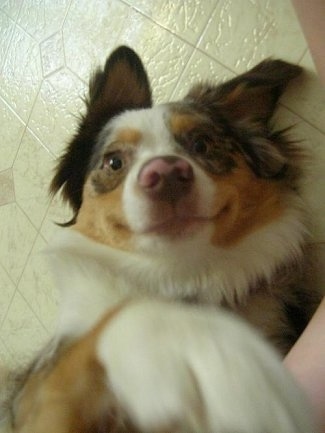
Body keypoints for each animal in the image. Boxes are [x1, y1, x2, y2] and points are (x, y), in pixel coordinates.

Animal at [3, 45, 322, 430]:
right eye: (114, 162)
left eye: (202, 144)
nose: (166, 175)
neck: (178, 274)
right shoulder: (34, 398)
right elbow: (122, 316)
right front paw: (202, 353)